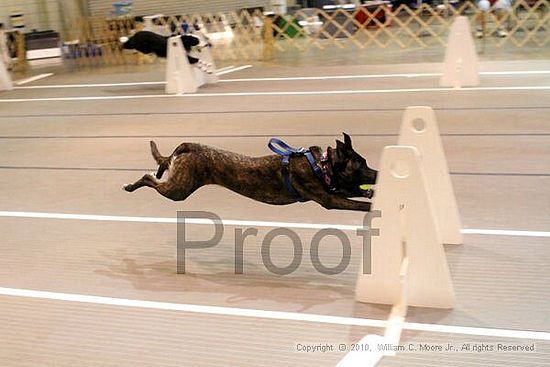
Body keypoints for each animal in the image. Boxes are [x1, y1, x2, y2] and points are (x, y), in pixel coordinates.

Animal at [122, 134, 378, 211]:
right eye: (362, 165)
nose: (378, 173)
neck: (322, 165)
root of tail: (189, 146)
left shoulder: (334, 188)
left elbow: (355, 191)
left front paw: (372, 193)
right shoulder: (328, 198)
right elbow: (357, 203)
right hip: (179, 190)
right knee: (148, 178)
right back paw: (130, 186)